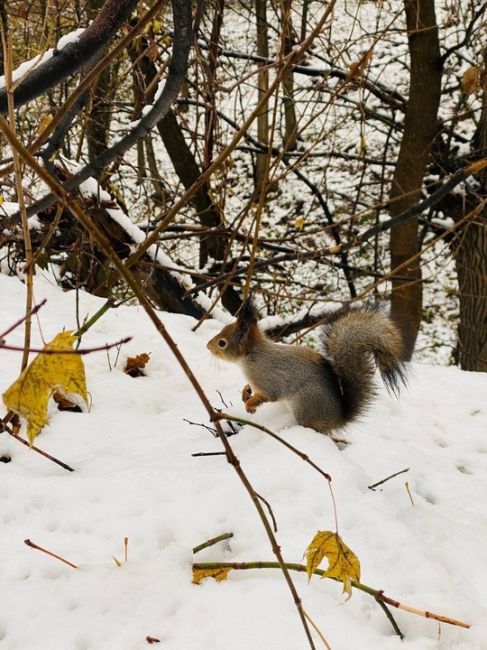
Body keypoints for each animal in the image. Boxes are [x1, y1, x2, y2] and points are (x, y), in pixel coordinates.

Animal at [208, 298, 406, 436]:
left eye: (222, 343)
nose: (208, 346)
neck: (252, 356)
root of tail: (336, 421)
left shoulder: (267, 378)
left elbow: (269, 395)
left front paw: (250, 404)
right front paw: (245, 392)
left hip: (305, 404)